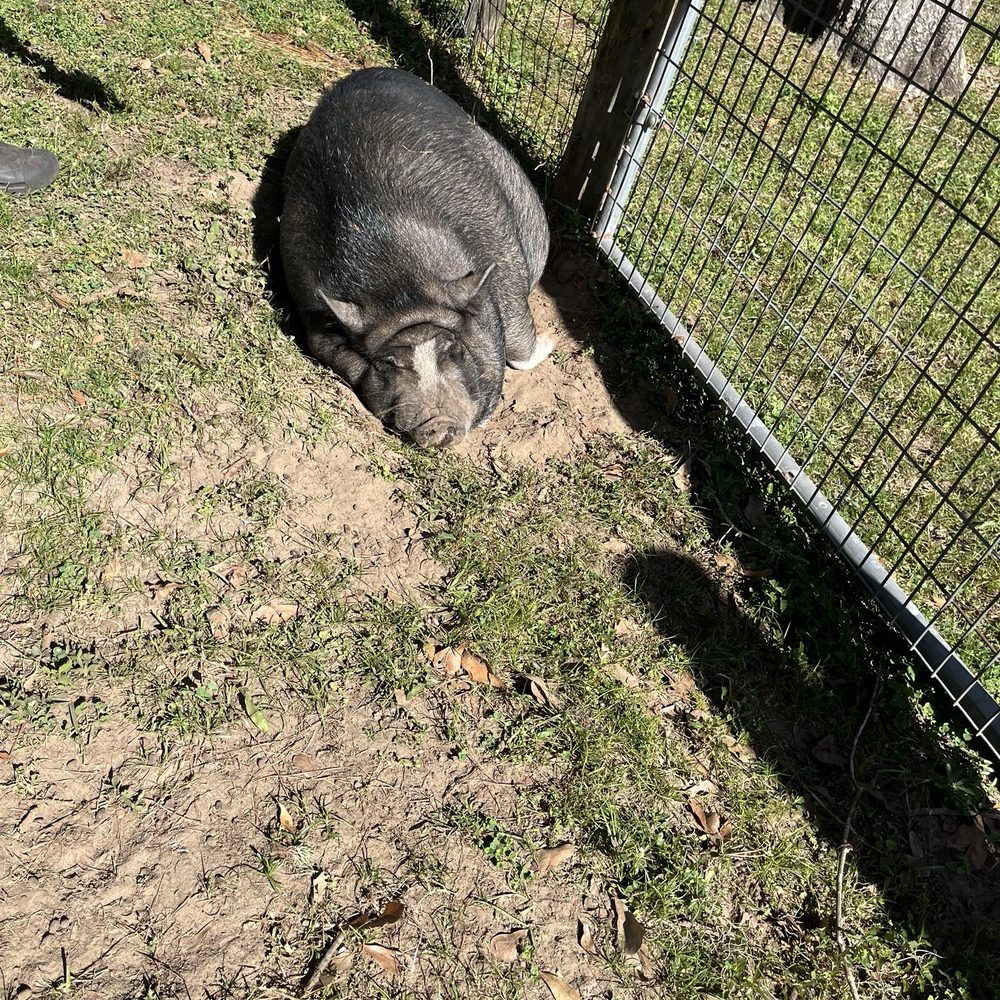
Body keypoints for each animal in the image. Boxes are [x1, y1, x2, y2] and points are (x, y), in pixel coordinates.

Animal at [279, 68, 552, 448]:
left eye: (453, 350)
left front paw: (550, 342)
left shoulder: (505, 266)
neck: (395, 276)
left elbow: (518, 344)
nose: (437, 424)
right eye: (387, 364)